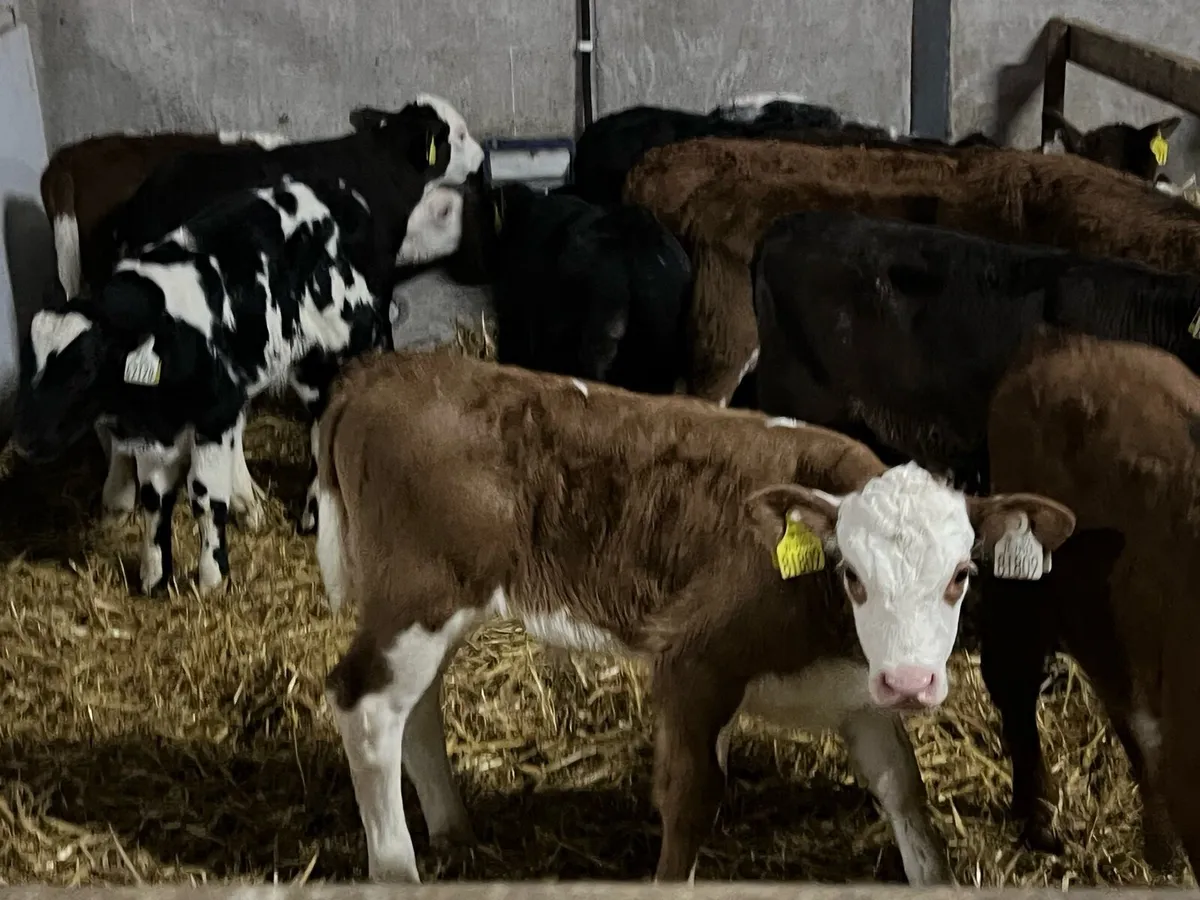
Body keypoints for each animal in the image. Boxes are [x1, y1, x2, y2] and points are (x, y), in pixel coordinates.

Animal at [11, 174, 390, 596]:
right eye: (28, 364)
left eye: (82, 370)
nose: (23, 441)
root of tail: (338, 191)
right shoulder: (156, 432)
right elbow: (154, 498)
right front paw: (154, 577)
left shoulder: (216, 415)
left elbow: (205, 496)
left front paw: (212, 577)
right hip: (308, 366)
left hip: (347, 348)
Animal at [313, 346, 1075, 885]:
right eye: (853, 576)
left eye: (962, 575)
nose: (913, 683)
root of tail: (385, 371)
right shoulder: (692, 661)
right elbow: (690, 801)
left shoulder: (859, 691)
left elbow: (906, 794)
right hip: (421, 593)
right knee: (366, 704)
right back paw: (397, 869)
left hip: (432, 608)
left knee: (415, 706)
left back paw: (452, 830)